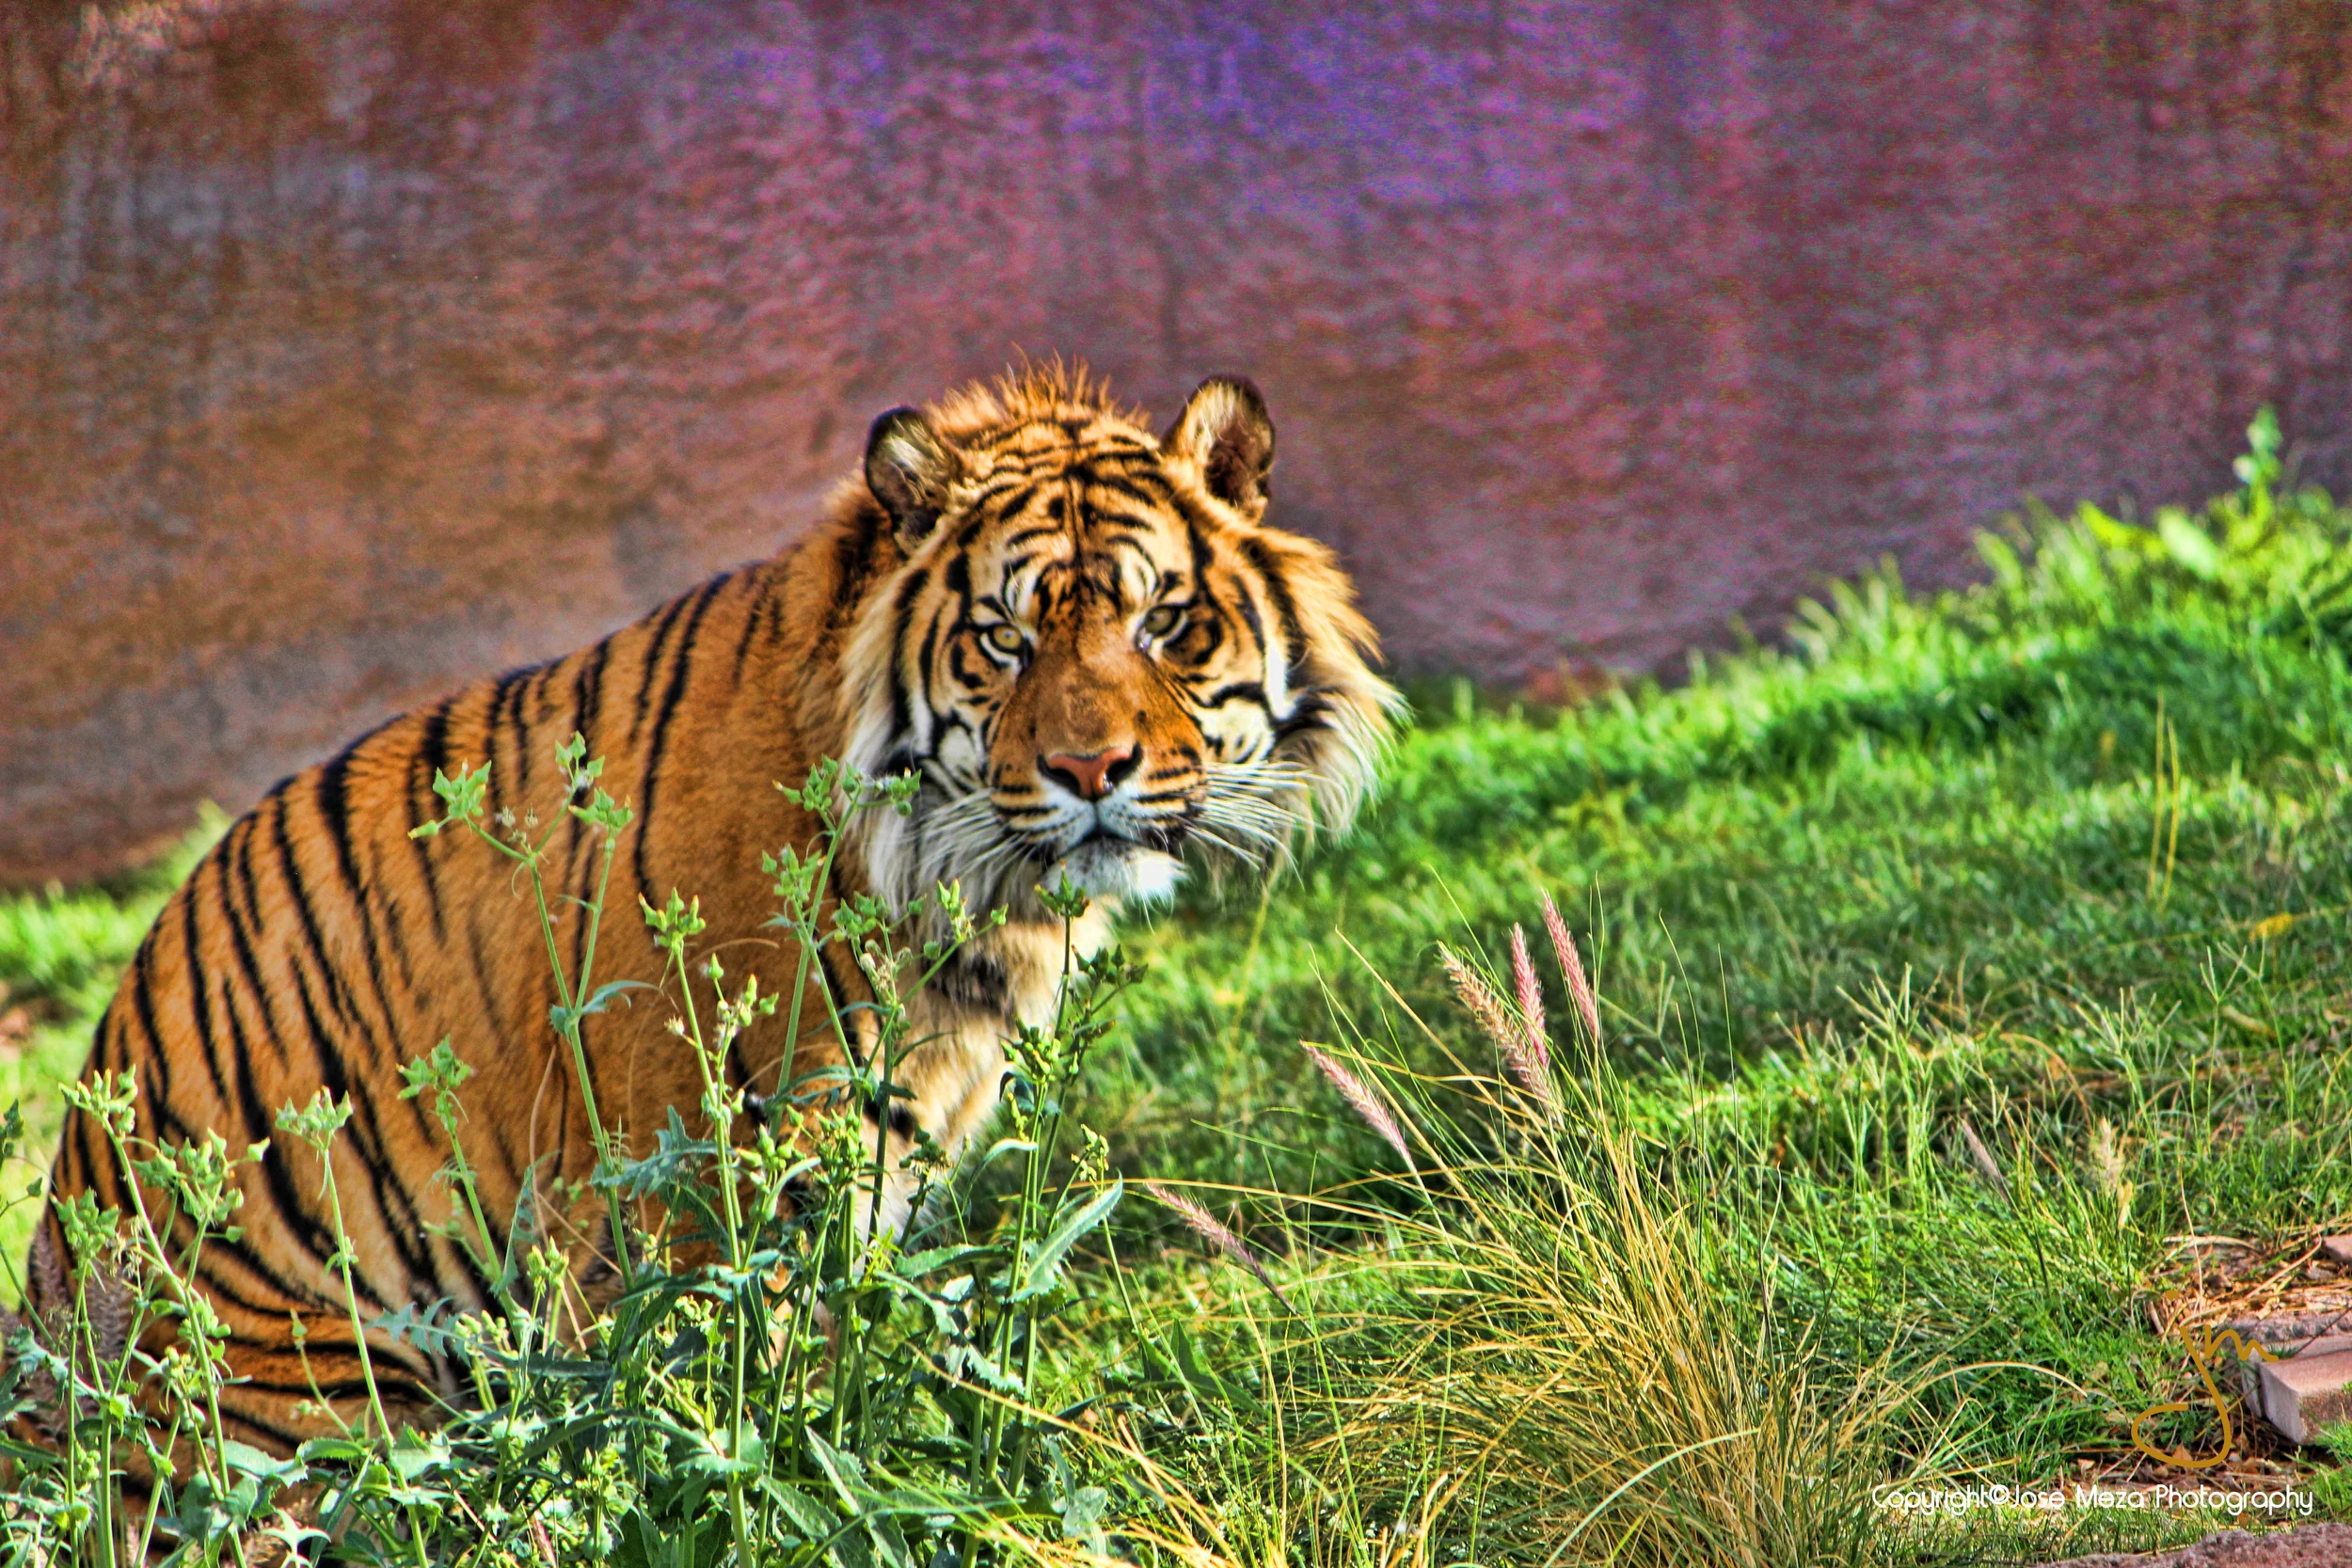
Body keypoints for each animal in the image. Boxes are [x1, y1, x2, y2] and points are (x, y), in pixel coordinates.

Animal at [15, 363, 1398, 1461]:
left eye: (1165, 620)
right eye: (1005, 640)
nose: (1091, 768)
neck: (967, 894)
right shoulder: (679, 1193)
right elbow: (700, 1395)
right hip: (315, 1392)